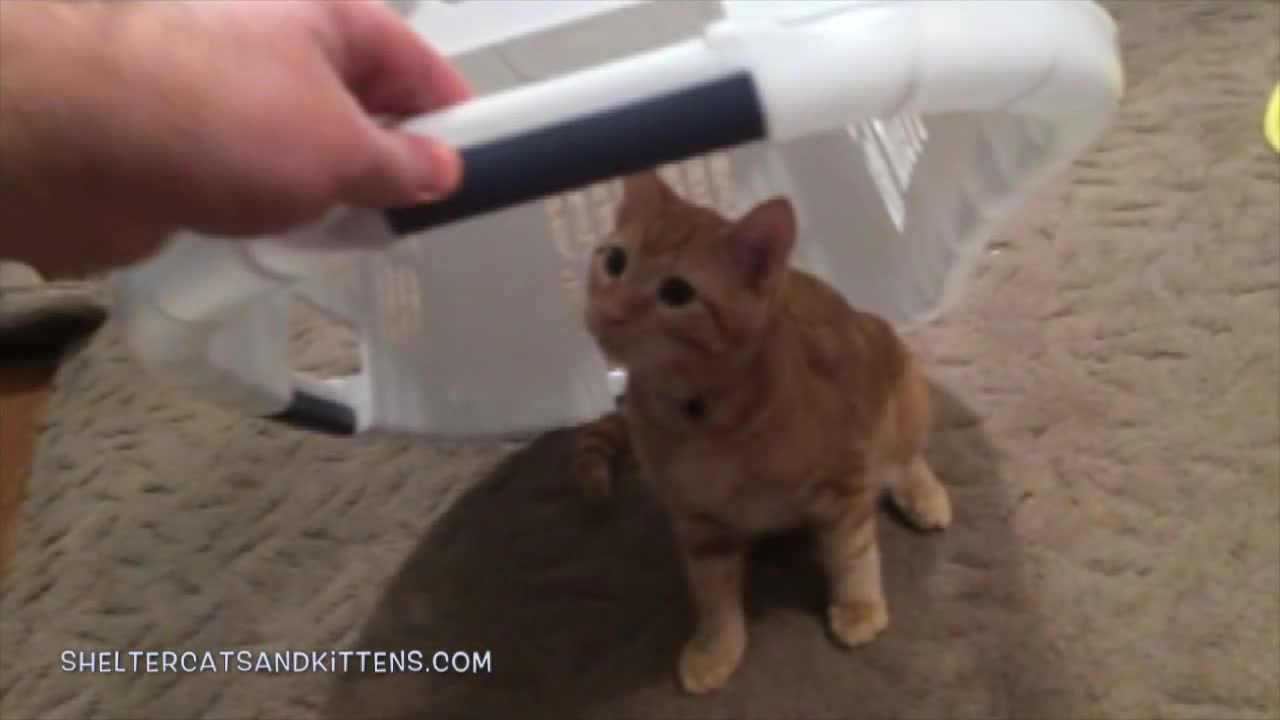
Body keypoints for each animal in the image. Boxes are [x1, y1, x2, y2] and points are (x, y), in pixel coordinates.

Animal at [570, 170, 952, 691]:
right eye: (614, 261)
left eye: (676, 293)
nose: (610, 312)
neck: (701, 419)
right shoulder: (699, 523)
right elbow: (714, 596)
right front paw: (717, 649)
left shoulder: (844, 480)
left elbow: (852, 552)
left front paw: (858, 606)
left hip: (898, 385)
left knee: (906, 457)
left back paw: (924, 494)